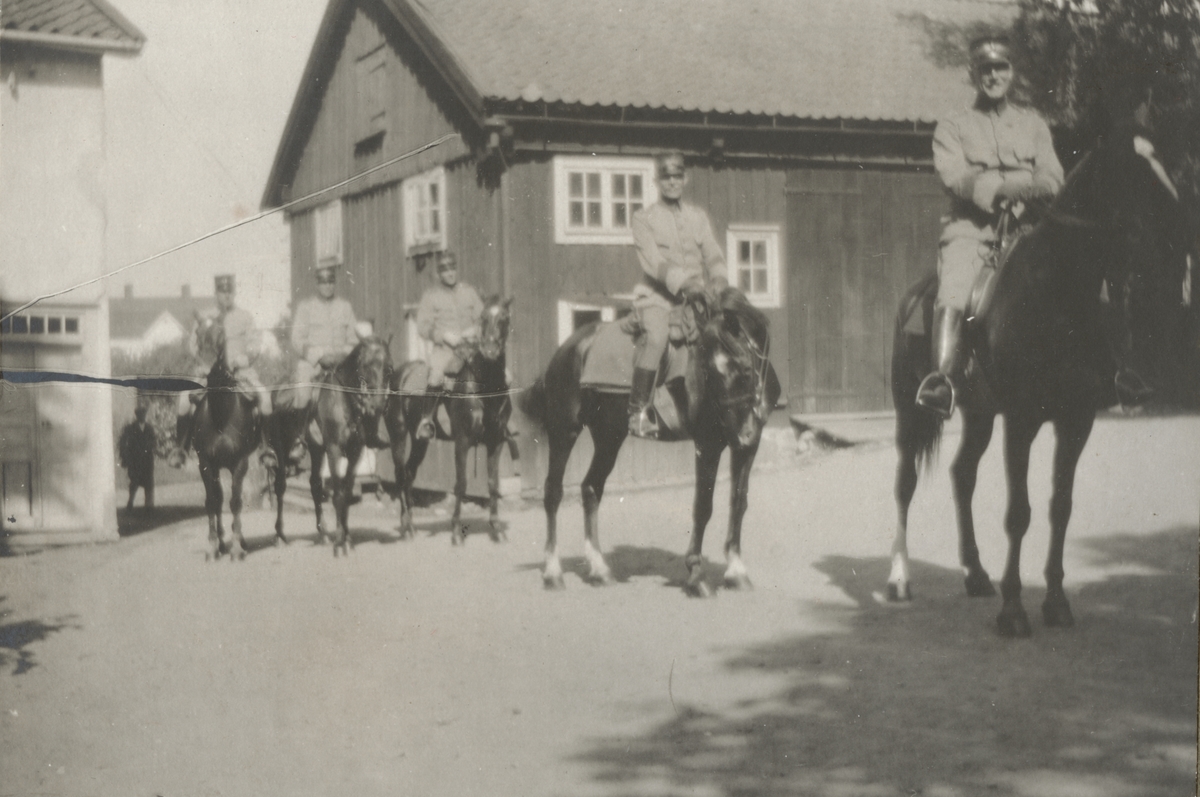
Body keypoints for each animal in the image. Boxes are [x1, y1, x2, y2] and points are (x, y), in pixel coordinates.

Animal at [189, 312, 267, 559]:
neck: (221, 415)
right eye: (197, 333)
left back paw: (238, 540)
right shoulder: (205, 463)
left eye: (220, 335)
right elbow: (212, 502)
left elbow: (235, 502)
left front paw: (236, 548)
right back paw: (222, 542)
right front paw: (213, 546)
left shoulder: (239, 463)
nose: (204, 367)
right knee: (218, 498)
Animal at [265, 333, 391, 554]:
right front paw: (340, 543)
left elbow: (346, 493)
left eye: (388, 367)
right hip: (282, 448)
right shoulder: (334, 450)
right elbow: (338, 494)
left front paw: (346, 537)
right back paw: (280, 535)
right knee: (280, 486)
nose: (375, 405)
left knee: (315, 484)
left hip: (316, 450)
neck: (344, 402)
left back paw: (323, 533)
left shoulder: (355, 452)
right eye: (366, 364)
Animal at [384, 295, 516, 544]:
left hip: (420, 441)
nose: (490, 350)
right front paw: (455, 532)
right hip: (398, 435)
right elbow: (461, 485)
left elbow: (493, 484)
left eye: (504, 318)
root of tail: (400, 373)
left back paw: (411, 525)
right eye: (482, 318)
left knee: (409, 474)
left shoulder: (495, 442)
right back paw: (406, 527)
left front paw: (497, 529)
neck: (483, 386)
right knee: (400, 475)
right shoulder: (462, 443)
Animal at [520, 289, 782, 595]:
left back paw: (599, 569)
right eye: (709, 369)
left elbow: (738, 503)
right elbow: (703, 507)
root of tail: (570, 347)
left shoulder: (749, 446)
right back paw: (553, 572)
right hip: (565, 430)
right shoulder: (707, 445)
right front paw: (696, 575)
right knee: (553, 492)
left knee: (591, 489)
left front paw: (736, 571)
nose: (742, 432)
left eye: (746, 369)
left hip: (609, 436)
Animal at [888, 124, 1195, 633]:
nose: (1181, 232)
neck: (1057, 294)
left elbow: (1059, 508)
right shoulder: (1022, 421)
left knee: (962, 475)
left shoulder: (1075, 421)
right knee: (905, 485)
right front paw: (1014, 611)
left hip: (979, 415)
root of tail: (914, 293)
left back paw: (975, 574)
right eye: (1136, 176)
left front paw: (1055, 601)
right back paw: (898, 579)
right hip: (910, 414)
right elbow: (1019, 513)